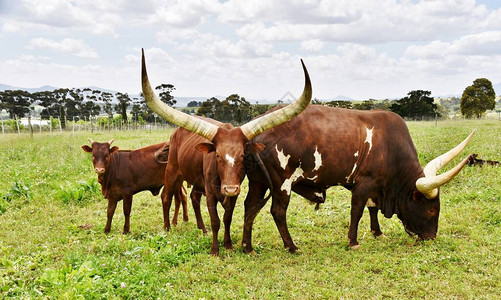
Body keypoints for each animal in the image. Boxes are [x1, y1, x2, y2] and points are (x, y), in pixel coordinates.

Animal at [141, 49, 310, 255]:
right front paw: (215, 250)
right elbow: (215, 220)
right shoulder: (211, 192)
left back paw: (202, 228)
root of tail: (175, 133)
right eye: (217, 156)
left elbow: (227, 218)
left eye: (243, 155)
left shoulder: (234, 193)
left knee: (194, 197)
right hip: (172, 170)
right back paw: (167, 228)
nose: (229, 188)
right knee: (166, 197)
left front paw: (228, 244)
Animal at [240, 105, 474, 253]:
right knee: (278, 212)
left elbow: (372, 208)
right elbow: (357, 210)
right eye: (432, 210)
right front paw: (353, 241)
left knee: (249, 207)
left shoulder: (376, 186)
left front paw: (377, 232)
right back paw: (291, 246)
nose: (431, 237)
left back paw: (247, 247)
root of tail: (254, 136)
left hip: (258, 183)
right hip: (282, 183)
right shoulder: (365, 182)